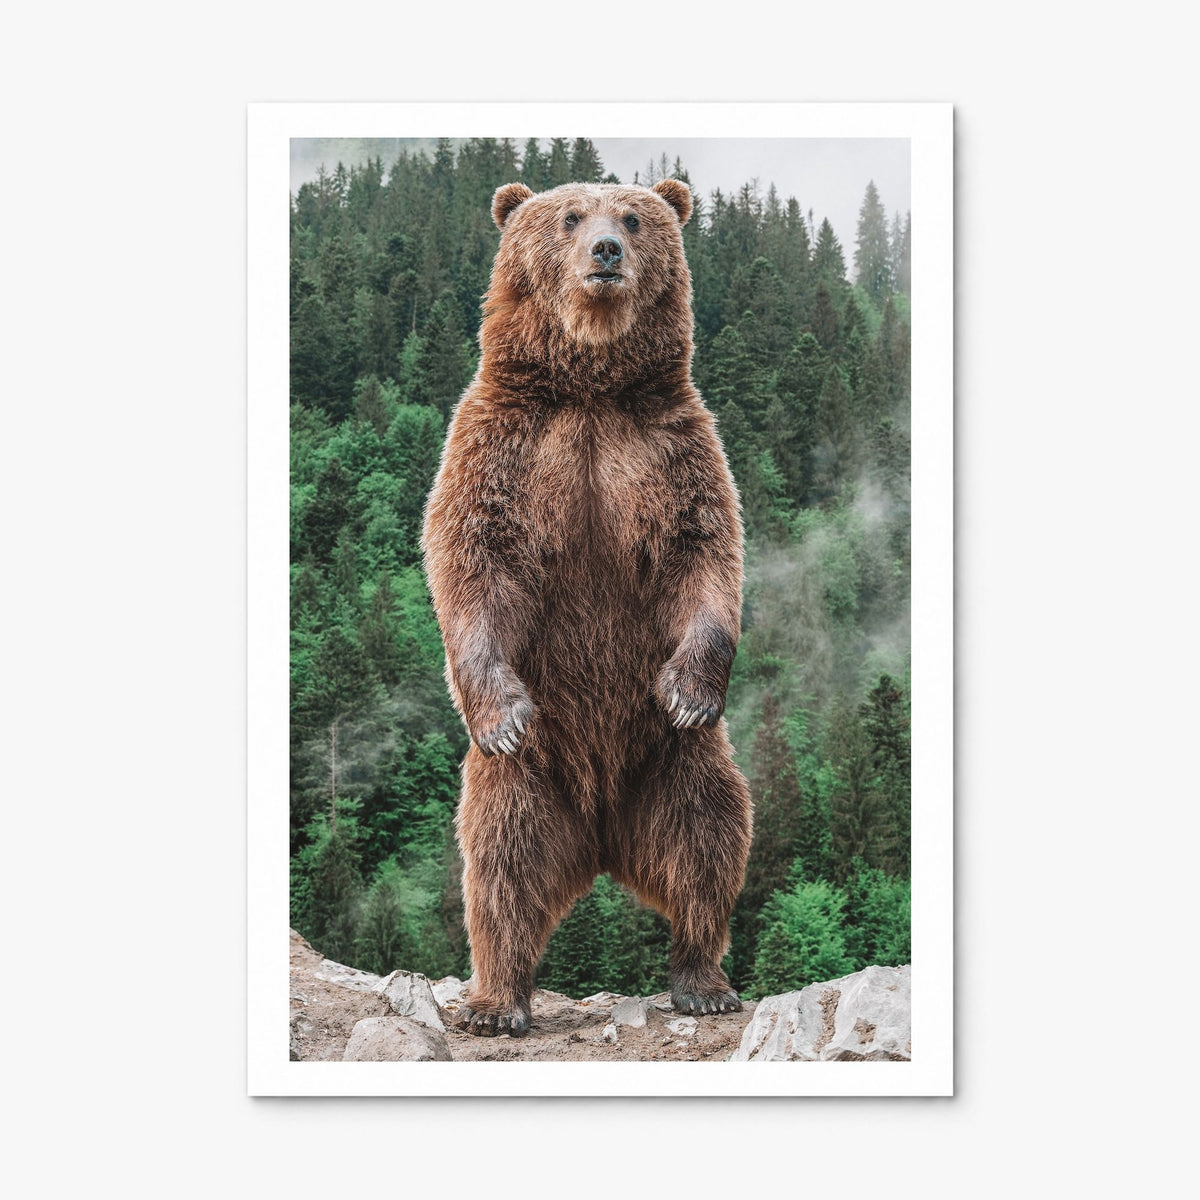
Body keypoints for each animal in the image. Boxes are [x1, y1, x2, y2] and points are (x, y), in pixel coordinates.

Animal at [421, 178, 752, 1036]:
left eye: (633, 218)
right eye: (570, 217)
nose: (606, 251)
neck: (590, 387)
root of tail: (601, 837)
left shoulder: (671, 448)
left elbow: (705, 555)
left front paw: (689, 689)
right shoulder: (504, 446)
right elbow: (472, 559)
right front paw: (501, 712)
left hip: (674, 763)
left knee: (709, 838)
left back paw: (703, 980)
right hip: (530, 780)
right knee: (499, 865)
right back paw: (496, 1001)